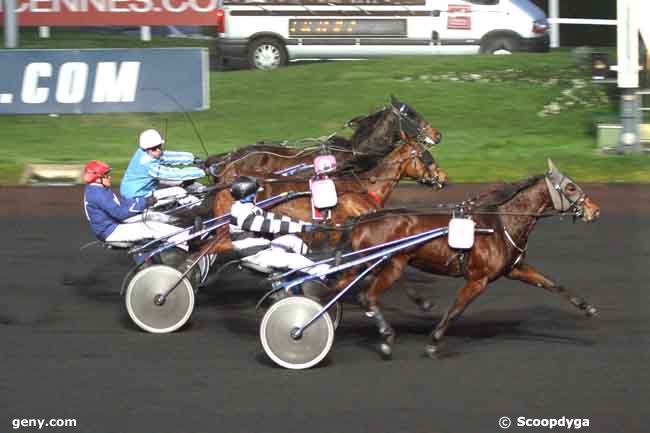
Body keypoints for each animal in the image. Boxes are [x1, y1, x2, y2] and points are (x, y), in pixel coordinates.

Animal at [336, 159, 600, 358]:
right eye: (570, 187)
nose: (594, 210)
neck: (501, 223)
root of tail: (362, 220)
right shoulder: (478, 280)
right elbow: (455, 310)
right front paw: (433, 342)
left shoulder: (515, 269)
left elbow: (552, 284)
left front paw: (587, 307)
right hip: (391, 265)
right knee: (367, 297)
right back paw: (386, 337)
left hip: (367, 265)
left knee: (340, 287)